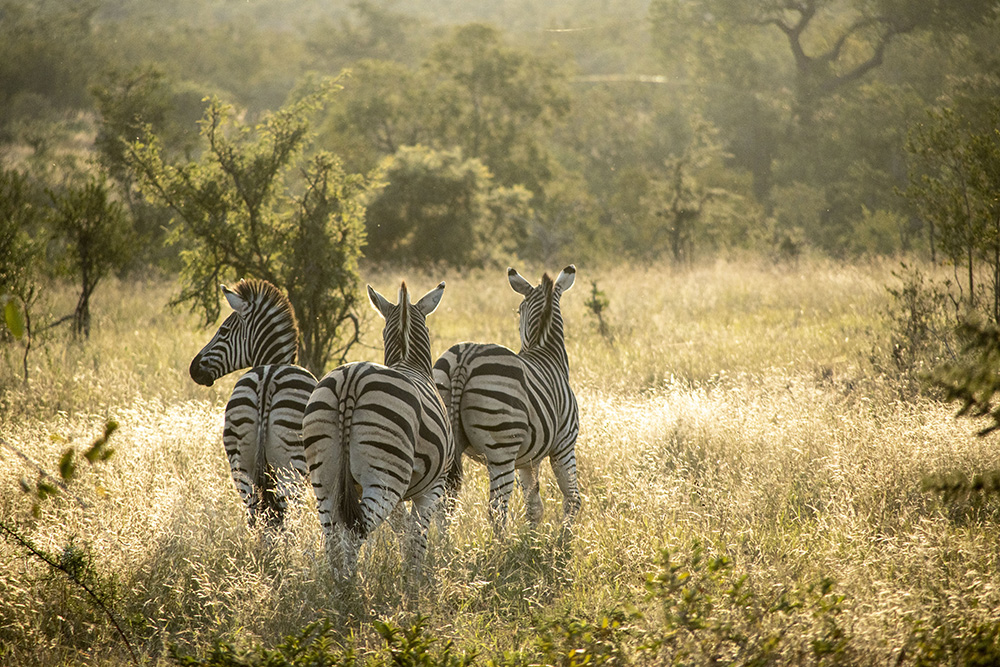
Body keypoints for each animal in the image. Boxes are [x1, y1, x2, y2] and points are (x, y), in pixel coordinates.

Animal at [189, 279, 317, 529]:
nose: (193, 368)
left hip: (240, 464)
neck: (272, 361)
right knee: (286, 519)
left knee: (256, 515)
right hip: (290, 468)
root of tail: (267, 380)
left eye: (223, 331)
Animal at [302, 280, 452, 579]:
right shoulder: (433, 486)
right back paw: (351, 585)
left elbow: (403, 529)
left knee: (333, 538)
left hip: (324, 477)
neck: (409, 362)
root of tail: (351, 380)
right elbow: (417, 535)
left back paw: (337, 585)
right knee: (354, 533)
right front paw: (413, 579)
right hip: (386, 477)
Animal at [433, 265, 581, 533]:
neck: (546, 351)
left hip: (445, 445)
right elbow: (572, 498)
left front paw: (533, 539)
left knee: (442, 506)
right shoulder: (564, 444)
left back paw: (441, 544)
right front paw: (564, 538)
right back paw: (499, 544)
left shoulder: (527, 460)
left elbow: (534, 505)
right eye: (518, 311)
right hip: (500, 449)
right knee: (496, 510)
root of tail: (465, 358)